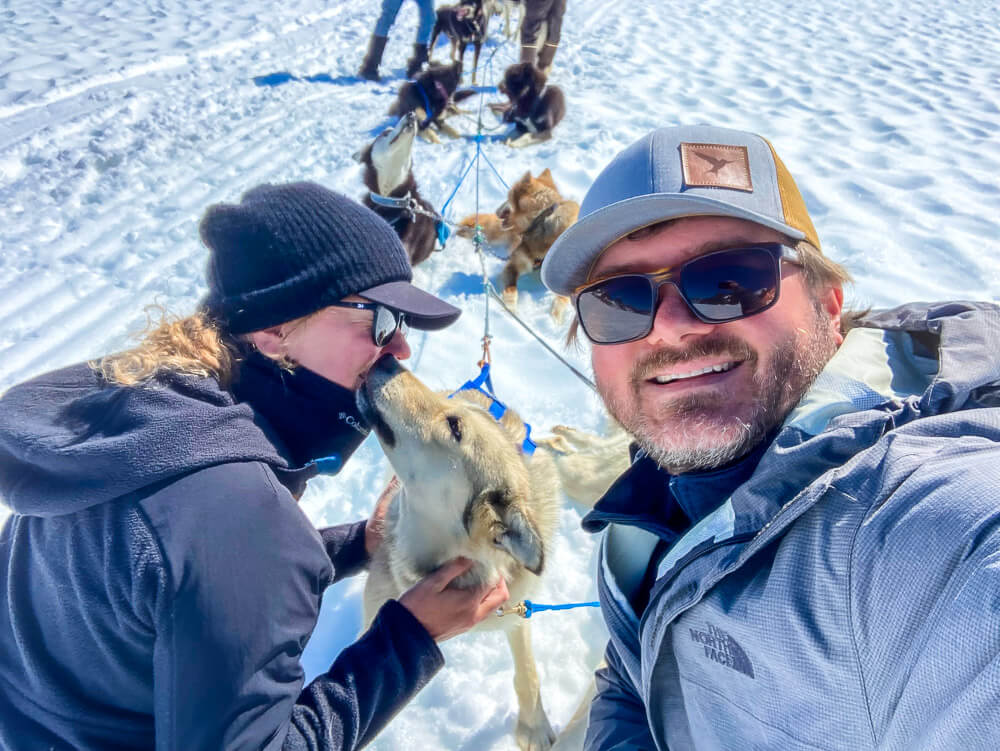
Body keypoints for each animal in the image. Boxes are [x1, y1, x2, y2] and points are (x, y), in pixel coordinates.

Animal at [458, 169, 580, 318]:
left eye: (508, 196)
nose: (496, 210)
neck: (539, 222)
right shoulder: (513, 266)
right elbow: (511, 290)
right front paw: (510, 310)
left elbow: (561, 299)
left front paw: (554, 318)